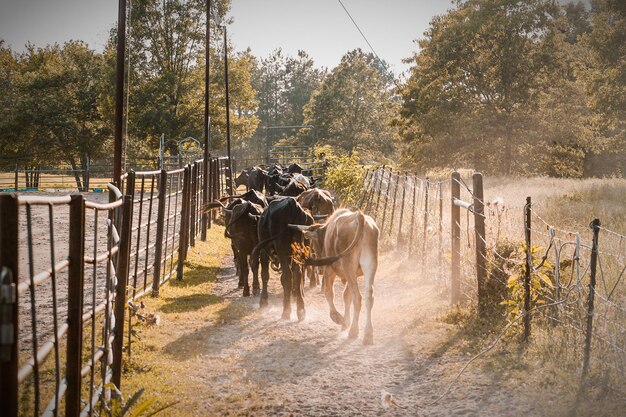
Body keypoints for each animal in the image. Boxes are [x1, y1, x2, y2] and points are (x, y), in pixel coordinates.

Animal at [288, 208, 380, 344]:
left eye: (314, 244)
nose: (319, 271)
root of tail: (360, 217)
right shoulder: (352, 275)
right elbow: (346, 296)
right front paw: (345, 322)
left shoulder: (330, 270)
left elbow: (329, 293)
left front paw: (338, 318)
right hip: (369, 265)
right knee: (369, 297)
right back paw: (368, 335)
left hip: (348, 267)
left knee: (357, 297)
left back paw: (354, 331)